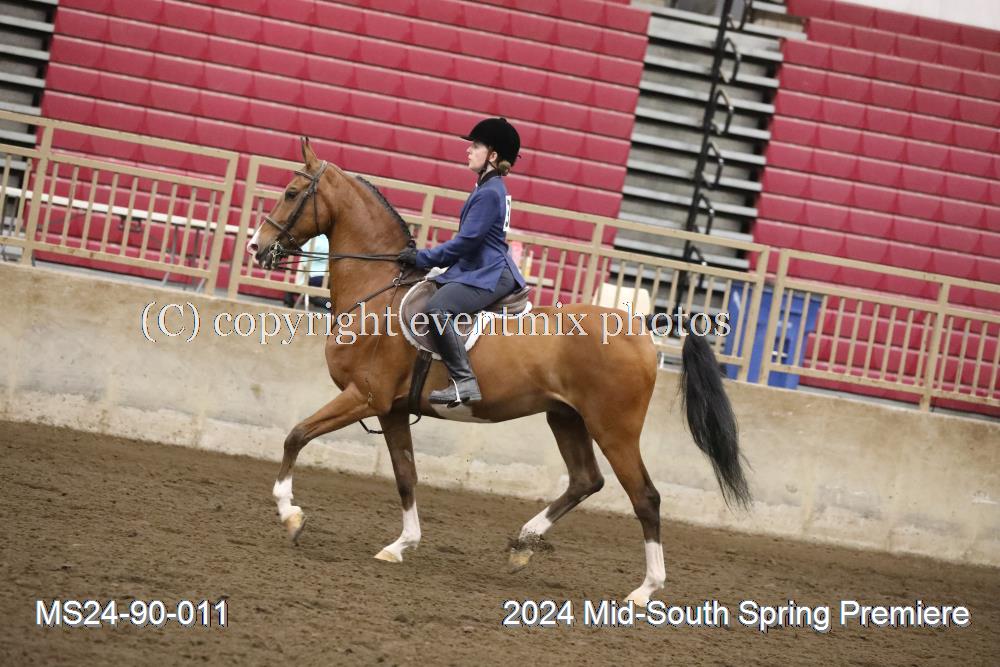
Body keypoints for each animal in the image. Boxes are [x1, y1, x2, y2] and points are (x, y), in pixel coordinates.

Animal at [246, 138, 751, 607]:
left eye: (291, 193)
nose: (257, 246)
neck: (378, 294)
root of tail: (642, 327)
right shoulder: (391, 410)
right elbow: (406, 475)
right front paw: (401, 545)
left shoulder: (364, 397)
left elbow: (296, 435)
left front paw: (290, 515)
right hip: (566, 418)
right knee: (586, 480)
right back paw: (523, 544)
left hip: (615, 428)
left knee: (645, 497)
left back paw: (645, 590)